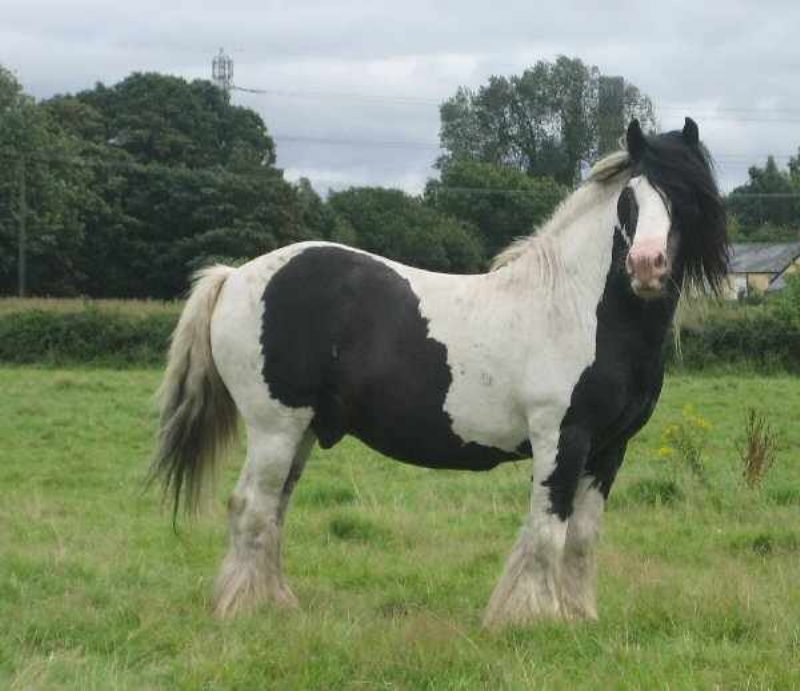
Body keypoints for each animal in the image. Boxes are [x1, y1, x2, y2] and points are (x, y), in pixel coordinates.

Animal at [149, 118, 728, 627]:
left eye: (685, 197)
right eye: (631, 198)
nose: (647, 266)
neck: (580, 306)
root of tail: (234, 275)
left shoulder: (609, 448)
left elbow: (583, 536)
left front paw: (580, 616)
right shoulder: (561, 437)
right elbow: (547, 529)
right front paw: (533, 618)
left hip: (303, 432)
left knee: (274, 511)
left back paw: (277, 604)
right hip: (275, 428)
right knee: (251, 507)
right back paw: (244, 609)